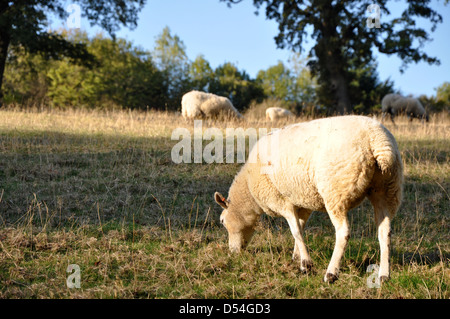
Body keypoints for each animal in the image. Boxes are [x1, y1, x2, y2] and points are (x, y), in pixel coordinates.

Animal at [214, 115, 404, 284]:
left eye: (222, 221)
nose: (232, 252)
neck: (249, 189)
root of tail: (378, 142)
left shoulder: (281, 200)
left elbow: (296, 231)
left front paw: (306, 264)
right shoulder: (303, 201)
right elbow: (301, 227)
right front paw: (296, 257)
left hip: (336, 192)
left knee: (343, 233)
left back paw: (331, 274)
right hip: (387, 190)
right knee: (385, 232)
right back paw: (384, 275)